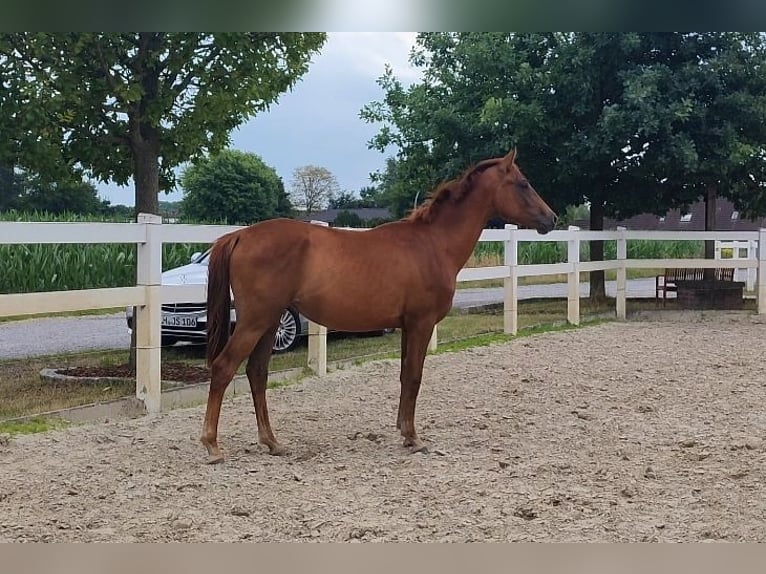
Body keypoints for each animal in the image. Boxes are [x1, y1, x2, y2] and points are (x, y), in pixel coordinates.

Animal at [201, 148, 557, 464]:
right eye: (523, 183)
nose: (551, 218)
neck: (433, 243)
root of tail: (240, 236)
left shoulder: (407, 326)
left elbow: (404, 375)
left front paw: (403, 430)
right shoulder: (421, 323)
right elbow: (414, 376)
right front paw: (413, 438)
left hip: (270, 321)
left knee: (256, 373)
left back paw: (272, 442)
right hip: (256, 321)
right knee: (224, 368)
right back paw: (212, 446)